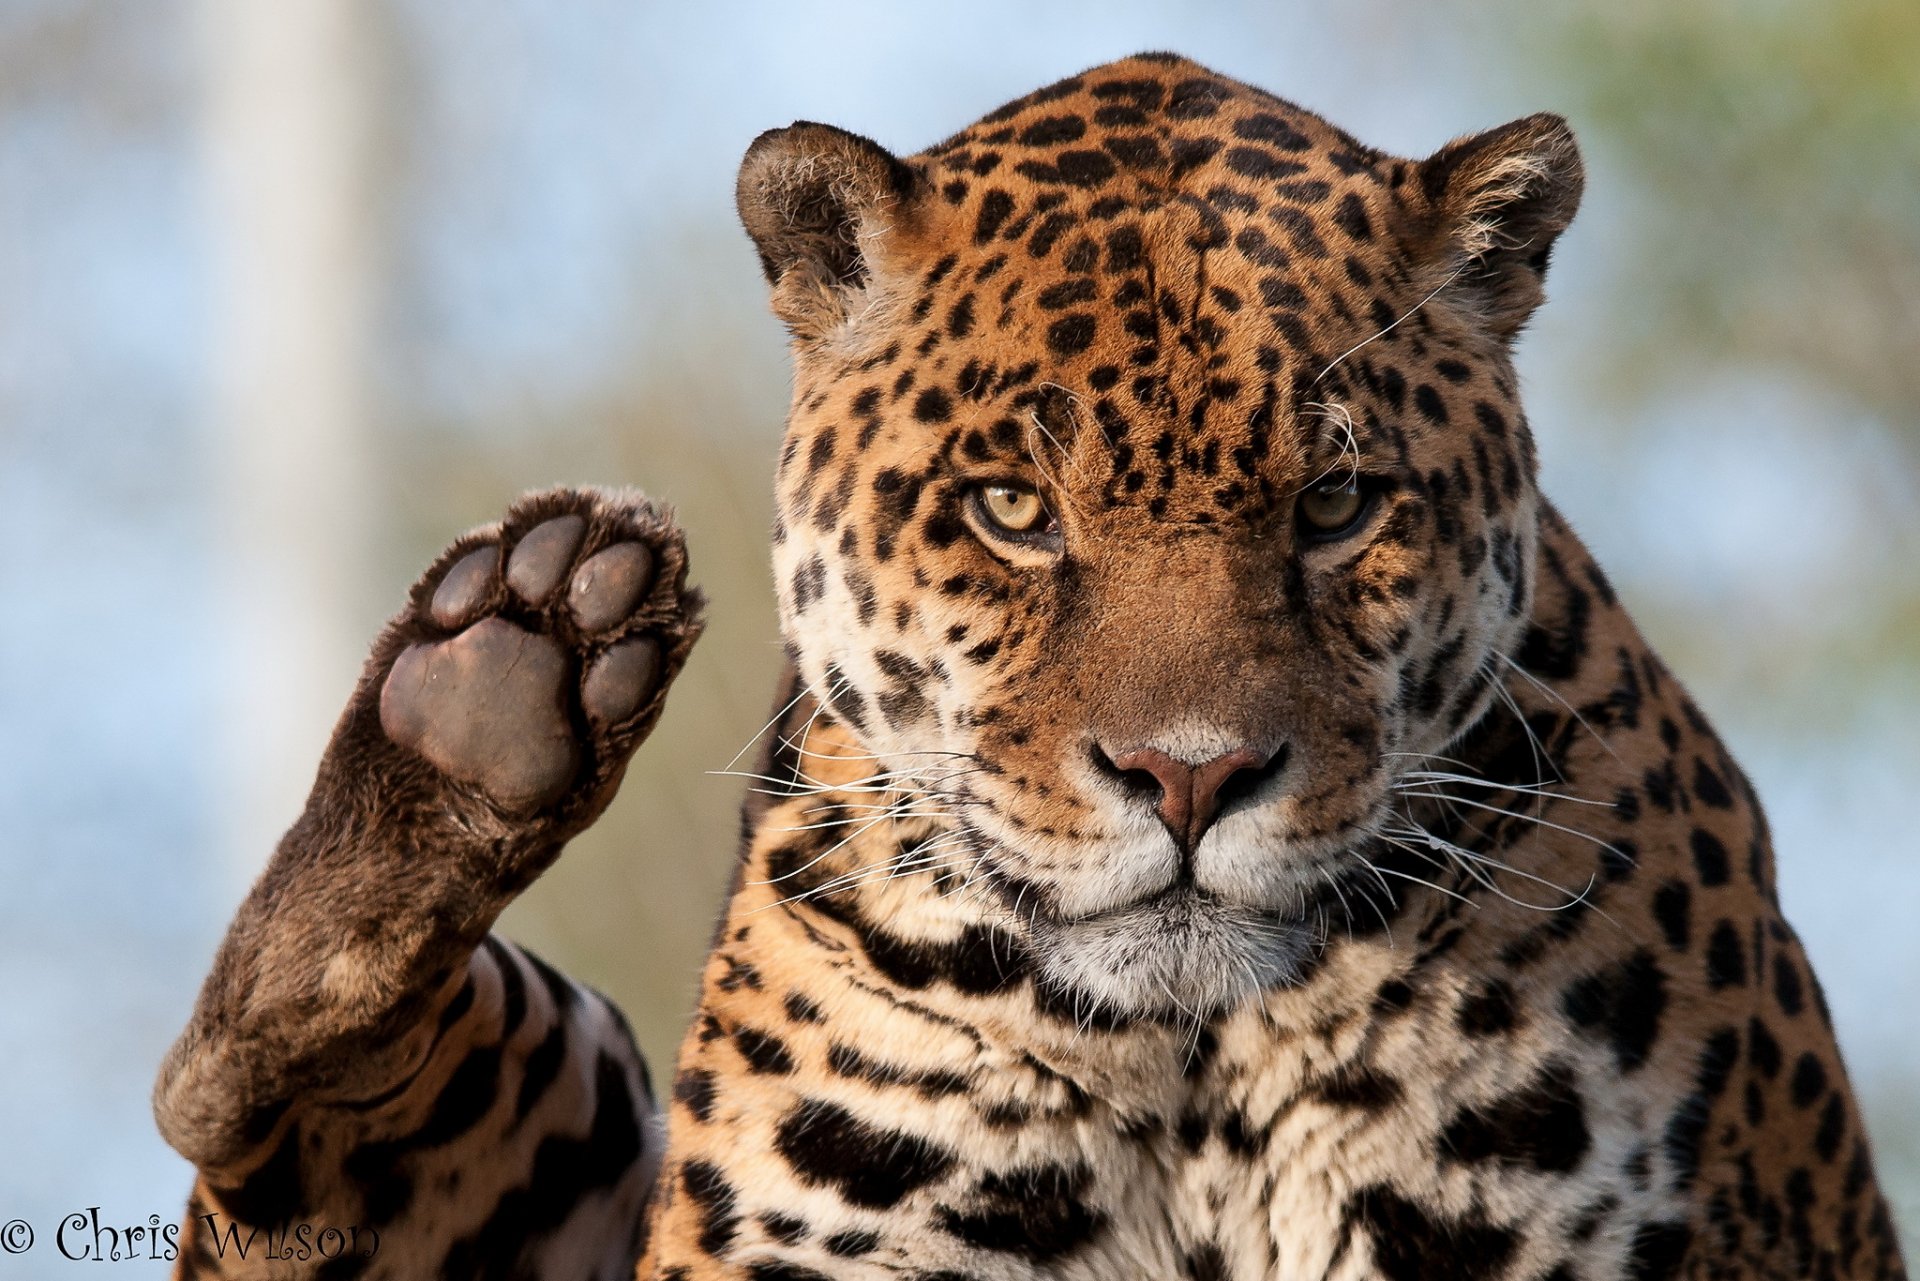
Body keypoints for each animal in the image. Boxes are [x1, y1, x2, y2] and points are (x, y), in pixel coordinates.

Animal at [154, 53, 1907, 1281]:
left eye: (1338, 505)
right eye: (1012, 510)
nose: (1190, 778)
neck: (1200, 1078)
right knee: (239, 1110)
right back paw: (498, 677)